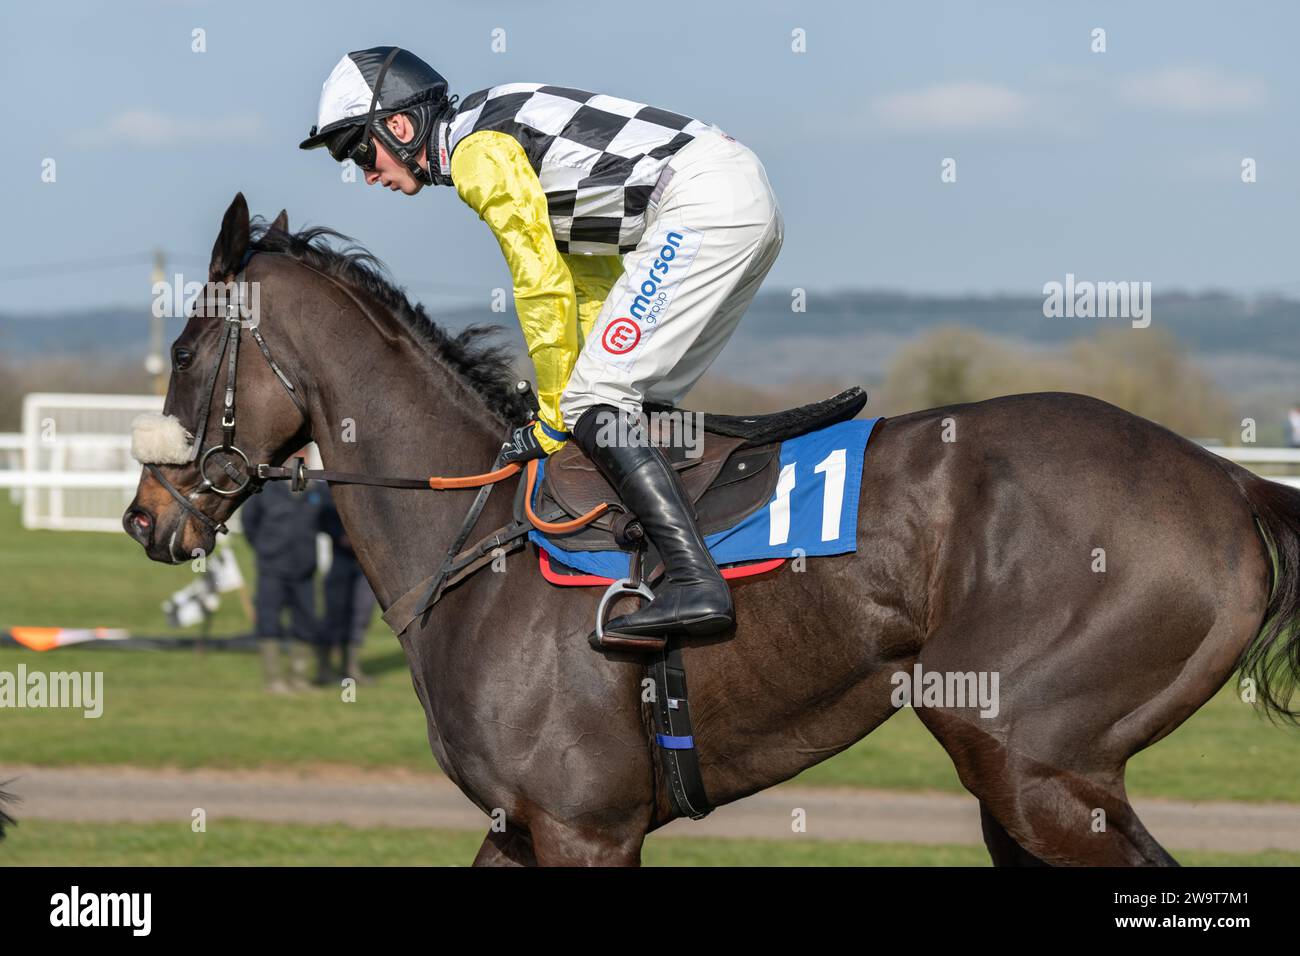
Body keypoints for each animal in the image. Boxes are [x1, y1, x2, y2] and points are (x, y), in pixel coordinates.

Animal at [124, 195, 1300, 868]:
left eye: (182, 349)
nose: (146, 515)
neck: (475, 536)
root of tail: (1228, 481)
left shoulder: (583, 827)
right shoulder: (520, 828)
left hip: (1030, 757)